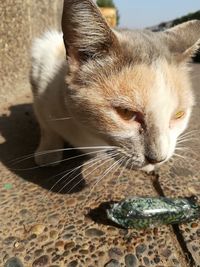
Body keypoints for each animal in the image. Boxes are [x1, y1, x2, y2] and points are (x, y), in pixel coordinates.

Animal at [30, 0, 200, 174]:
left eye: (179, 114)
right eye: (125, 112)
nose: (158, 159)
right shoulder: (41, 75)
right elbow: (47, 127)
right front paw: (48, 152)